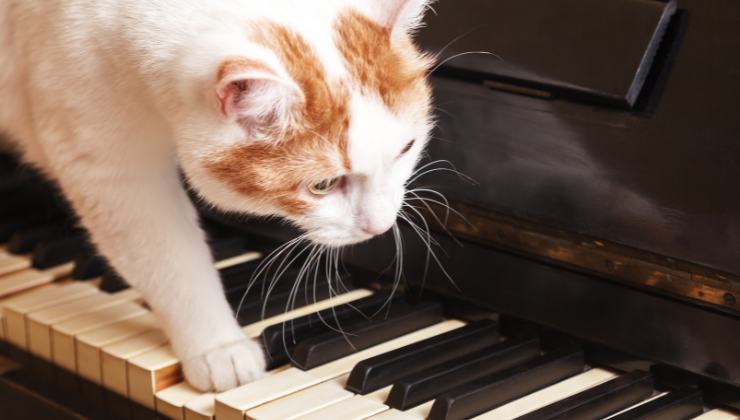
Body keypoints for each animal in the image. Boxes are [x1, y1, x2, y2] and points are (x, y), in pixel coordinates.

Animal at [0, 0, 434, 392]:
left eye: (405, 148)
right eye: (322, 186)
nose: (380, 226)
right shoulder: (110, 172)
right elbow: (169, 260)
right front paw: (217, 347)